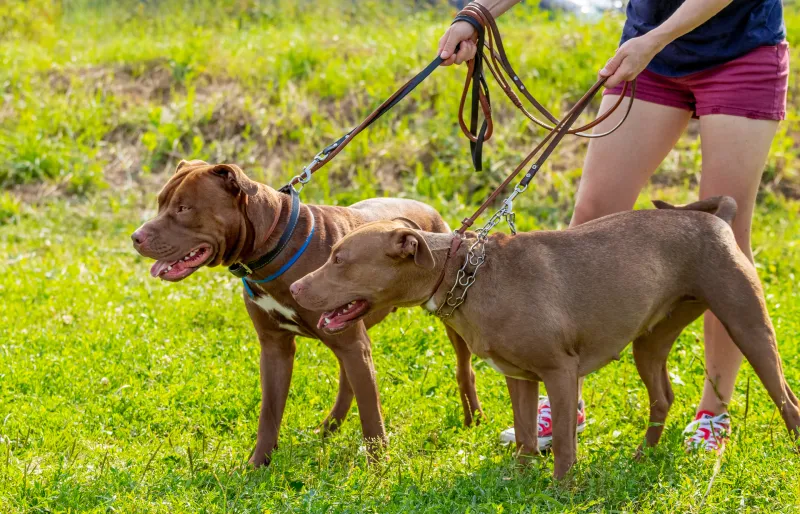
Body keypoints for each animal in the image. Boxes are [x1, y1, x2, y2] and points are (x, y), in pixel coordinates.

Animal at [130, 160, 482, 464]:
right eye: (161, 203)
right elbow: (269, 413)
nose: (136, 237)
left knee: (464, 369)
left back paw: (473, 421)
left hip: (448, 317)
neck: (273, 247)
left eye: (184, 208)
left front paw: (378, 470)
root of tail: (427, 208)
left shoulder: (351, 343)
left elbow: (371, 416)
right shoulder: (275, 347)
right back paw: (329, 428)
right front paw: (257, 465)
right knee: (349, 380)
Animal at [292, 196, 800, 476]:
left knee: (786, 399)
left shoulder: (560, 372)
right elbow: (521, 435)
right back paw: (642, 456)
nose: (295, 288)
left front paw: (560, 489)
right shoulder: (519, 378)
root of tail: (717, 219)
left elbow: (566, 448)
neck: (467, 274)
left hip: (747, 325)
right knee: (663, 397)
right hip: (650, 341)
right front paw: (518, 479)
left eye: (340, 259)